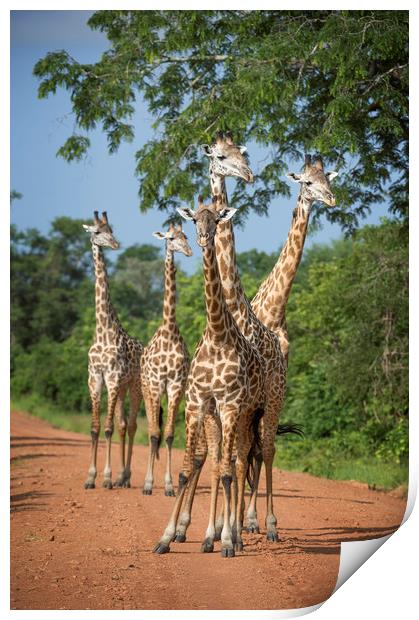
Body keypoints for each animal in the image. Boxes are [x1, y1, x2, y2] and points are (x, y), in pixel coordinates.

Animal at [153, 197, 266, 556]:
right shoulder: (197, 401)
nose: (204, 237)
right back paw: (208, 535)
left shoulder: (230, 404)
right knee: (220, 461)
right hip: (217, 415)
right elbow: (187, 470)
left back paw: (237, 535)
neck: (217, 334)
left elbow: (229, 473)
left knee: (239, 463)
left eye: (217, 220)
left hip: (247, 414)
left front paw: (228, 540)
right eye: (194, 220)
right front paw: (165, 537)